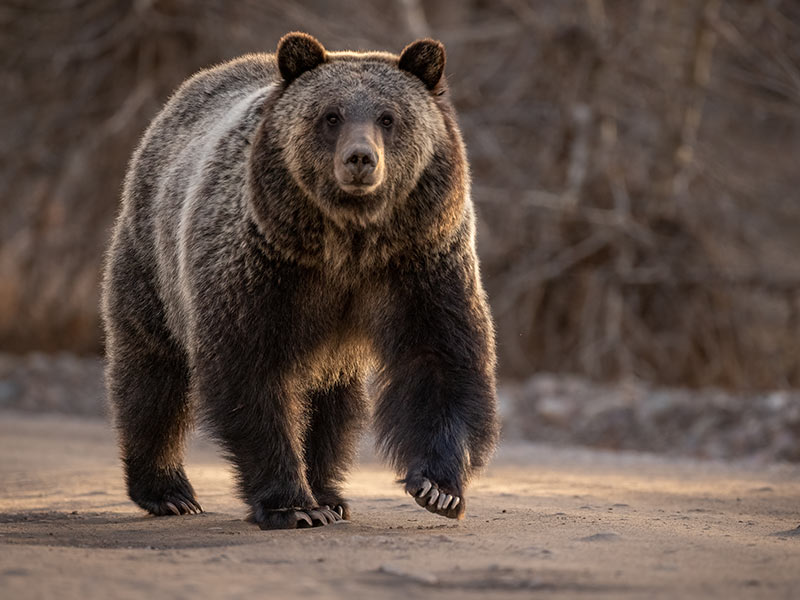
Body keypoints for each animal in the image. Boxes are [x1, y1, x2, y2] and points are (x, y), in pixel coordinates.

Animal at [101, 32, 499, 529]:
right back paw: (168, 491)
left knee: (334, 402)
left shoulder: (420, 259)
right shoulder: (263, 265)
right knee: (153, 372)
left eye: (388, 117)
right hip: (153, 260)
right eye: (331, 115)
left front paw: (437, 489)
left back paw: (330, 492)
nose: (360, 159)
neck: (349, 241)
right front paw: (292, 504)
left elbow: (440, 357)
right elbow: (251, 371)